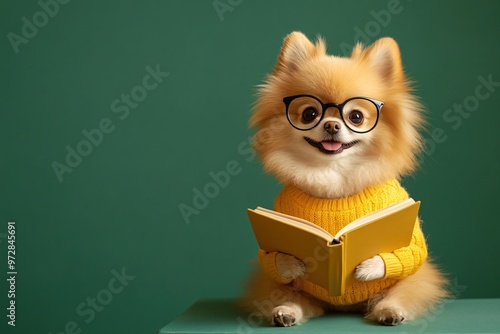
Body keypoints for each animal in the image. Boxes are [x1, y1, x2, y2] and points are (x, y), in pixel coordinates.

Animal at [240, 32, 448, 328]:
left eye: (356, 117)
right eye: (309, 114)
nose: (331, 125)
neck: (335, 177)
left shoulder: (409, 232)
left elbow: (414, 250)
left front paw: (369, 266)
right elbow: (270, 257)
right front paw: (290, 262)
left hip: (413, 282)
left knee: (401, 293)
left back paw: (389, 311)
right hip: (282, 289)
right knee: (293, 299)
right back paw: (286, 311)